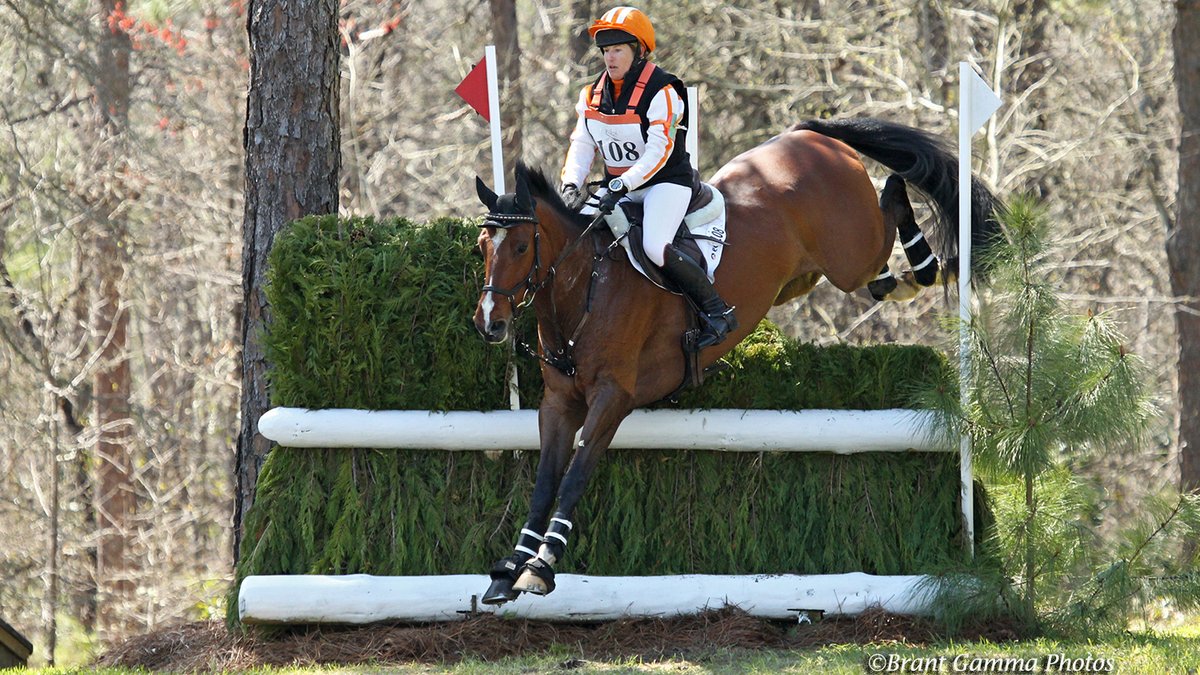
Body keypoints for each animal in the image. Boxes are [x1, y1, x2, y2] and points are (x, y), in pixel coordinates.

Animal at [472, 114, 998, 598]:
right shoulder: (559, 403)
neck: (587, 287)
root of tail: (811, 135)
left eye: (520, 246)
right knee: (881, 273)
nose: (489, 323)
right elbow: (544, 481)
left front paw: (540, 568)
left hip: (848, 256)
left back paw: (934, 266)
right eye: (482, 247)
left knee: (891, 198)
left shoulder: (612, 398)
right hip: (807, 276)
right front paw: (509, 569)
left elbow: (574, 477)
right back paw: (912, 276)